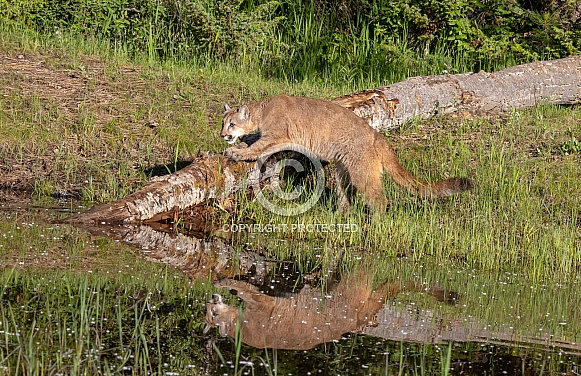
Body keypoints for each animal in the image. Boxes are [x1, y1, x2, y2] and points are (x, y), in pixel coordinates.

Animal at [222, 94, 472, 212]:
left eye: (231, 124)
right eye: (223, 123)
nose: (223, 134)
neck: (262, 110)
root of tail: (378, 136)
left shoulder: (276, 135)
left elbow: (258, 148)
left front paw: (235, 151)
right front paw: (240, 145)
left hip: (363, 172)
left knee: (379, 199)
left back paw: (376, 226)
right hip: (343, 170)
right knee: (346, 195)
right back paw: (340, 215)